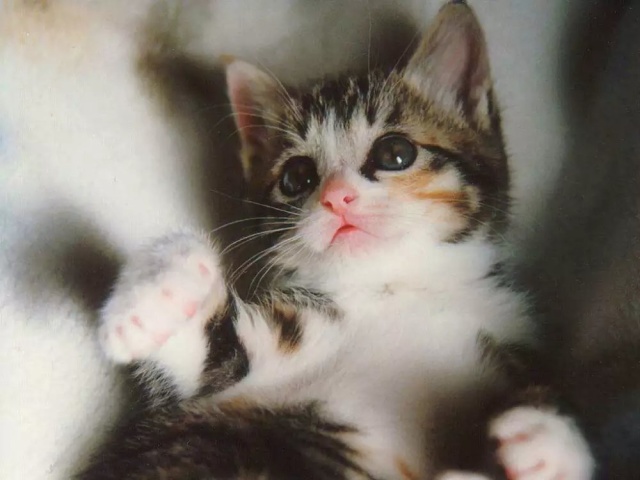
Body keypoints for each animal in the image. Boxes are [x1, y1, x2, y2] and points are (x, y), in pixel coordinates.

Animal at [79, 2, 593, 479]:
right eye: (297, 177)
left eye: (395, 153)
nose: (335, 198)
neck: (398, 289)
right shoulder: (249, 367)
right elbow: (206, 362)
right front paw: (160, 291)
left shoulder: (511, 349)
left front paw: (550, 440)